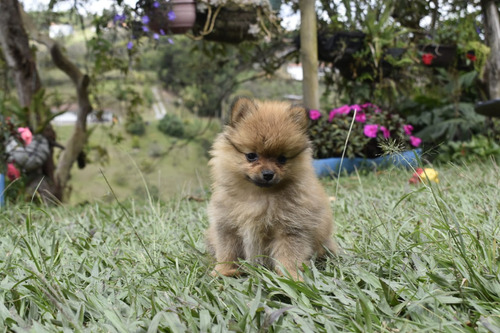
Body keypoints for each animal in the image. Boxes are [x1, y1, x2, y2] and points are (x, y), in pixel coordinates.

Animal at [205, 97, 338, 278]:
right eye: (251, 156)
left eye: (282, 159)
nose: (268, 174)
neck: (258, 195)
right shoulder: (227, 226)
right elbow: (227, 252)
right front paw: (223, 272)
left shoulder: (291, 228)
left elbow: (289, 256)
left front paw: (291, 277)